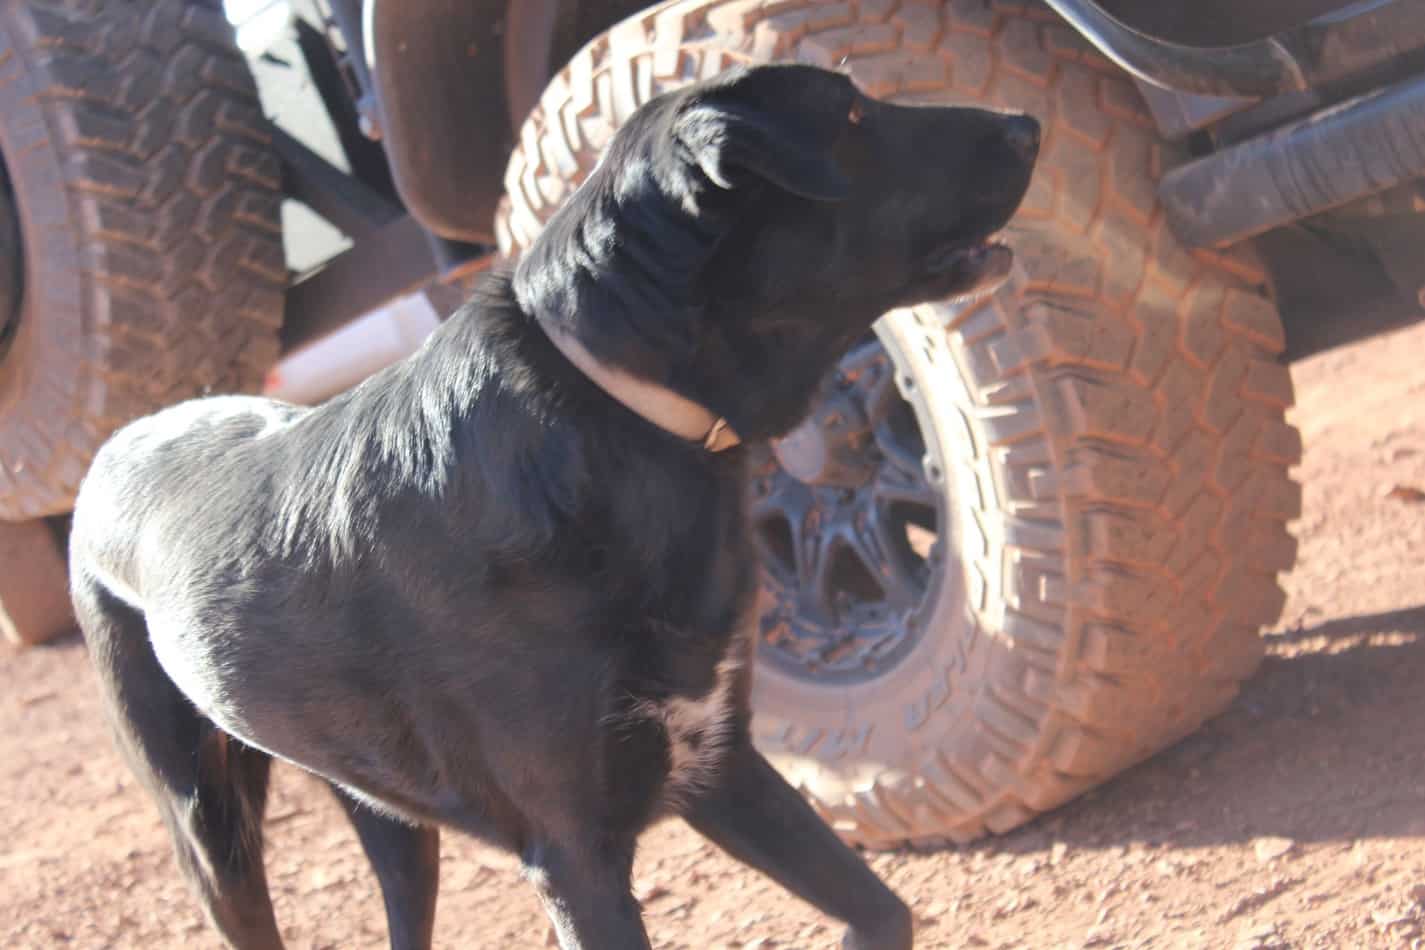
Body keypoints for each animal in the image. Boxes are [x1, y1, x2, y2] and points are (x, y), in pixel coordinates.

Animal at [69, 63, 1037, 945]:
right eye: (851, 116)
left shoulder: (719, 767)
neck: (607, 403)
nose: (1027, 122)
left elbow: (883, 912)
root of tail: (113, 447)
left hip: (386, 815)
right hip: (208, 828)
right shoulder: (573, 856)